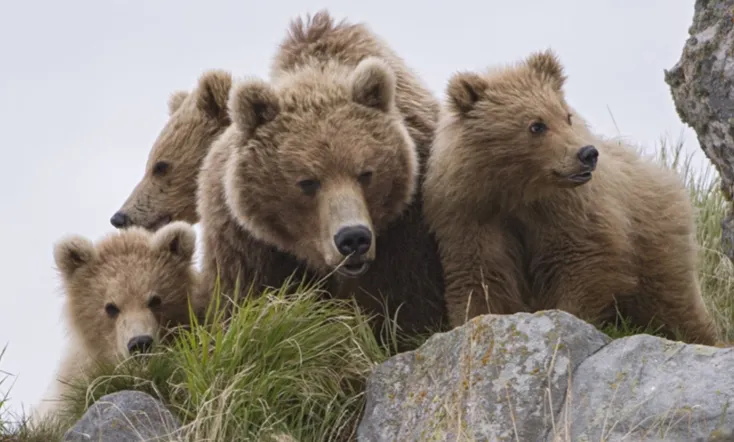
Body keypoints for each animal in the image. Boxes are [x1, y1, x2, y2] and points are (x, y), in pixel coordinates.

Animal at [197, 10, 448, 345]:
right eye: (307, 182)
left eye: (365, 173)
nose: (353, 238)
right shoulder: (248, 244)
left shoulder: (406, 232)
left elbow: (406, 307)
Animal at [421, 49, 718, 346]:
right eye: (536, 125)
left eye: (566, 116)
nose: (587, 153)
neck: (518, 191)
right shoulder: (471, 214)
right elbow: (481, 275)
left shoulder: (568, 211)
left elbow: (579, 263)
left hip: (656, 241)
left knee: (673, 301)